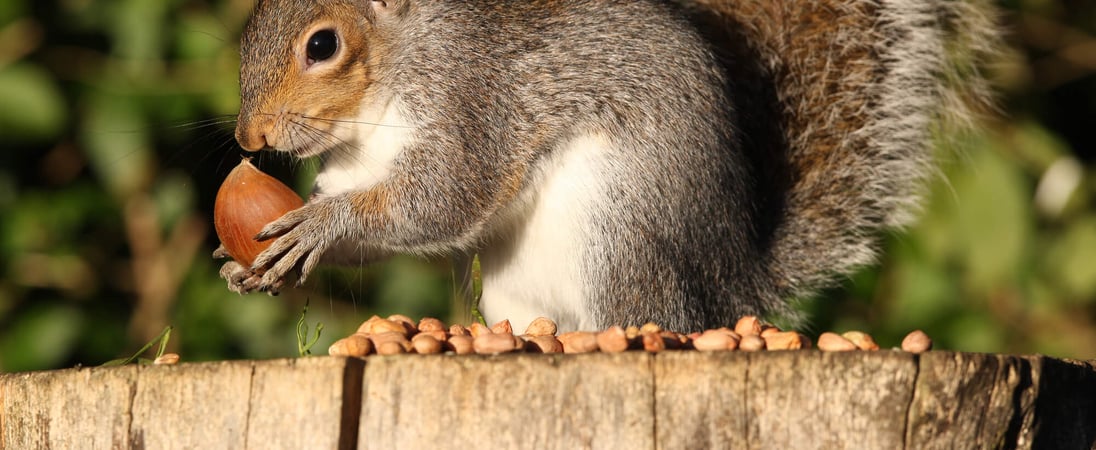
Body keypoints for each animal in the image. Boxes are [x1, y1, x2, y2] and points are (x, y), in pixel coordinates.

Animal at [213, 0, 995, 330]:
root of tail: (730, 288)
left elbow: (443, 199)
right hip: (517, 291)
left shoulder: (473, 102)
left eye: (323, 45)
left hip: (618, 236)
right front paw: (254, 263)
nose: (250, 136)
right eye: (246, 32)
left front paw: (321, 227)